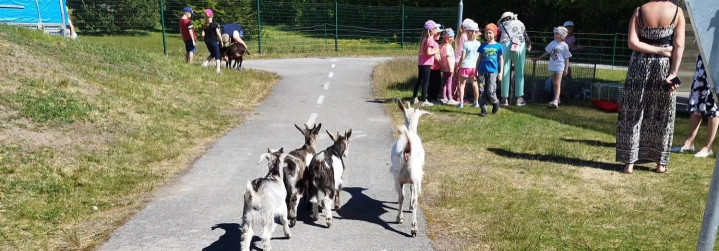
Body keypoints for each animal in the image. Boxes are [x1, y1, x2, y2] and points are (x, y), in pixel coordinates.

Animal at [390, 99, 430, 236]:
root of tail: (408, 147)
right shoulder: (415, 180)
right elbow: (412, 193)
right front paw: (410, 208)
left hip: (398, 176)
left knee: (401, 196)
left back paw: (401, 219)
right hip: (413, 175)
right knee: (413, 199)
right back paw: (412, 226)